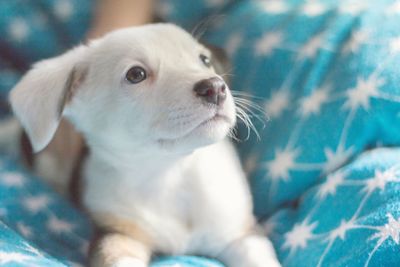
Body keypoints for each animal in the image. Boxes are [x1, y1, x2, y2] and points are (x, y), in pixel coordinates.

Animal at [8, 23, 278, 267]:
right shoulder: (118, 235)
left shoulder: (241, 234)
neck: (171, 172)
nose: (215, 87)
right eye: (136, 74)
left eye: (204, 60)